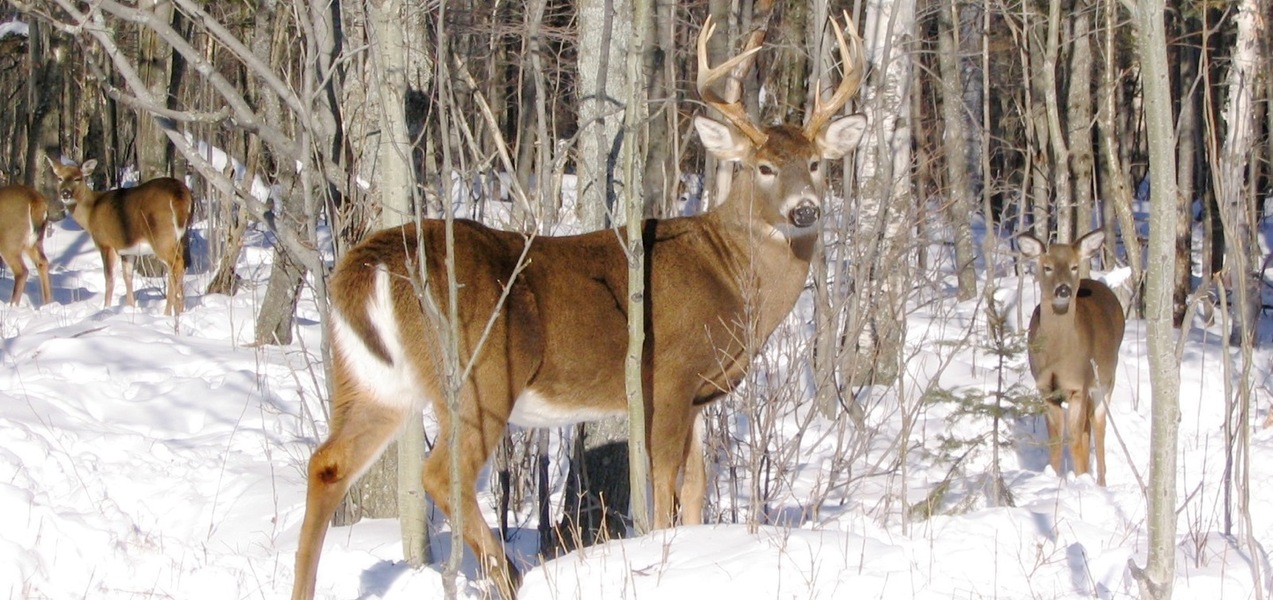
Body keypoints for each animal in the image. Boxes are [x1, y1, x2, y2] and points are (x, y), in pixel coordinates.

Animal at [47, 158, 192, 319]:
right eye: (59, 178)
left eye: (77, 178)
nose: (65, 193)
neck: (91, 212)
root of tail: (179, 191)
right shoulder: (127, 250)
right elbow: (127, 276)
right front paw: (130, 307)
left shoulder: (106, 243)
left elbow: (109, 278)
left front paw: (106, 308)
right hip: (179, 237)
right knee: (178, 265)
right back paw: (178, 310)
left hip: (161, 236)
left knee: (176, 265)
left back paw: (171, 312)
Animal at [288, 12, 865, 600]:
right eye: (764, 167)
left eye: (815, 163)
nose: (804, 211)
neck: (728, 272)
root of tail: (370, 264)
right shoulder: (671, 374)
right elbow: (664, 484)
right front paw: (663, 554)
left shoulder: (703, 393)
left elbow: (698, 487)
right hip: (480, 374)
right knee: (440, 474)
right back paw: (509, 574)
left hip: (375, 381)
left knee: (327, 463)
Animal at [1023, 230, 1125, 489]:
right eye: (1047, 267)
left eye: (1074, 266)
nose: (1063, 290)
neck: (1058, 357)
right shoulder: (1046, 389)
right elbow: (1056, 438)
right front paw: (1053, 476)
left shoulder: (1079, 385)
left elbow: (1075, 437)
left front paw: (1080, 479)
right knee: (1089, 426)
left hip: (1105, 380)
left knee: (1098, 426)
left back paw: (1100, 481)